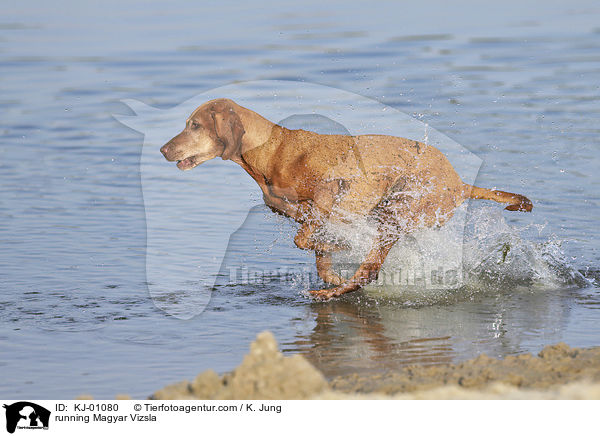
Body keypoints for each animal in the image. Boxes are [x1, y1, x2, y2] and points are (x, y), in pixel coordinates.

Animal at [162, 98, 532, 300]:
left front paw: (339, 249)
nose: (164, 149)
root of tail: (460, 183)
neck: (272, 152)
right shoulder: (308, 216)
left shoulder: (332, 193)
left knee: (370, 270)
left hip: (396, 212)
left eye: (195, 125)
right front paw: (332, 261)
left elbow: (304, 240)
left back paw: (336, 292)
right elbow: (317, 253)